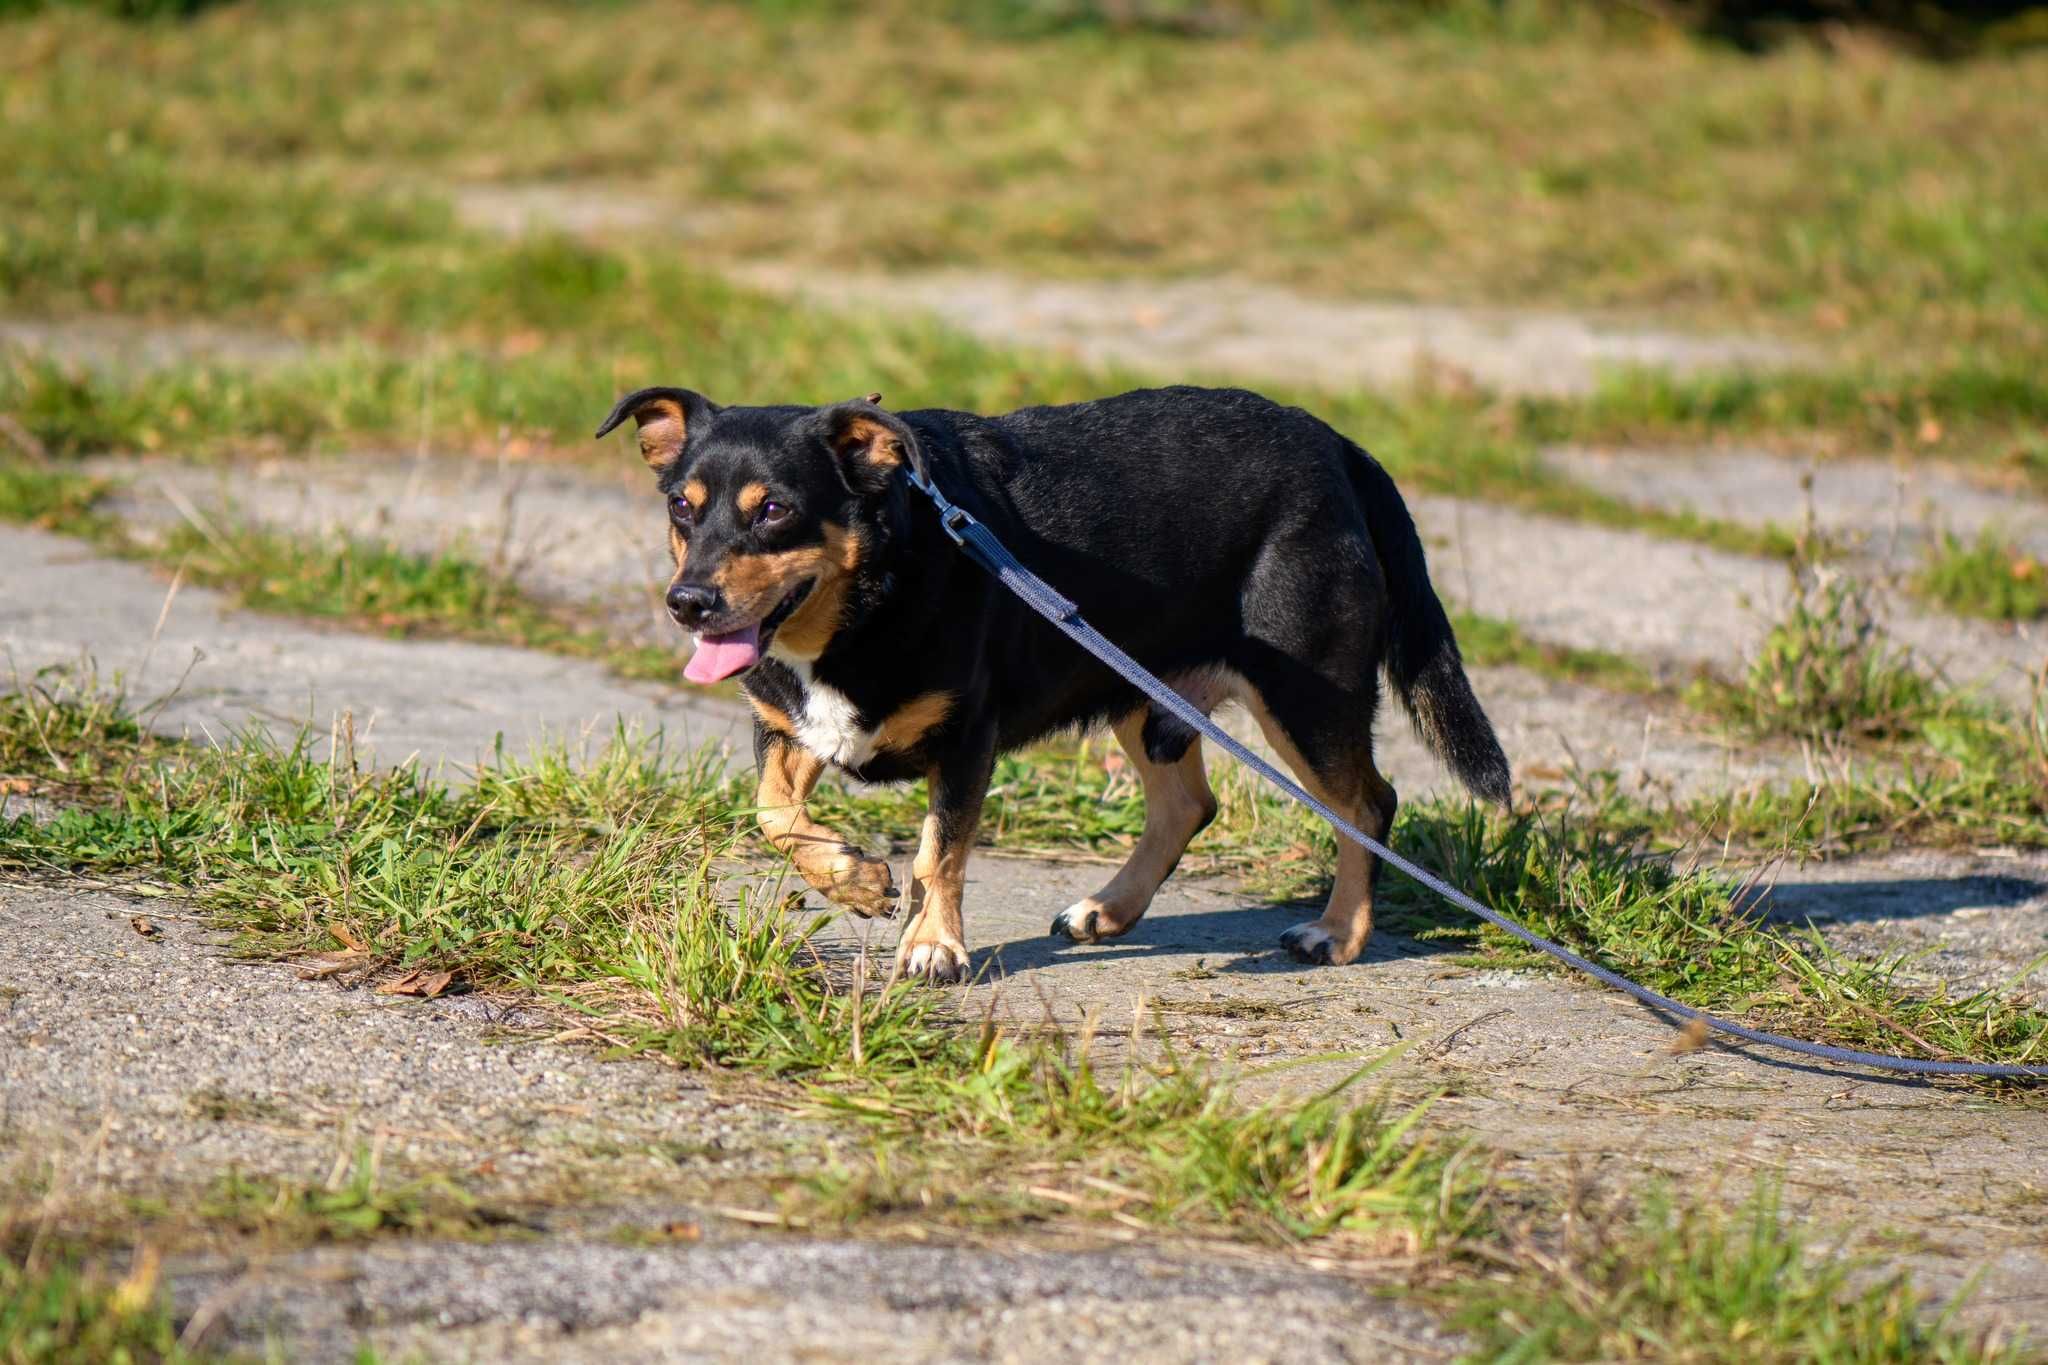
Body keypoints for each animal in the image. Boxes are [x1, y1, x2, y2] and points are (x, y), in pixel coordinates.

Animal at [593, 384, 1507, 982]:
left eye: (775, 509)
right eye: (682, 506)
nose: (688, 602)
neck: (869, 590)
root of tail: (1339, 448)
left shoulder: (967, 739)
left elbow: (940, 850)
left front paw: (931, 944)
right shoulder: (786, 725)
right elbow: (775, 815)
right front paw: (852, 878)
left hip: (1306, 695)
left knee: (1369, 804)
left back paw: (1337, 934)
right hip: (1144, 690)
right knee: (1188, 804)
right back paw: (1110, 909)